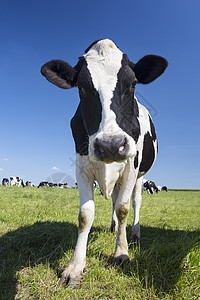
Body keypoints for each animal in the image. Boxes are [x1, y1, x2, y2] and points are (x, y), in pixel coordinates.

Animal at [41, 38, 168, 288]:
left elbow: (124, 208)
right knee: (115, 198)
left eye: (132, 84)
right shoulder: (81, 165)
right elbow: (85, 214)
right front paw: (74, 267)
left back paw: (135, 233)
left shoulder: (131, 167)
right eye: (81, 87)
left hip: (140, 176)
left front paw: (121, 252)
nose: (111, 145)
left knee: (135, 202)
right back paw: (113, 227)